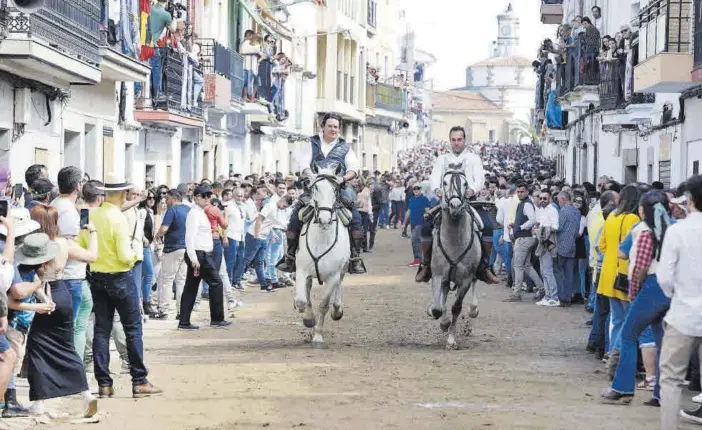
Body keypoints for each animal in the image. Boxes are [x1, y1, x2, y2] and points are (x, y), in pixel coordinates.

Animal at [292, 164, 350, 346]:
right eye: (315, 188)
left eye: (335, 189)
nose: (324, 219)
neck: (322, 238)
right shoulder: (302, 271)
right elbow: (302, 301)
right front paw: (309, 320)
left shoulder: (332, 276)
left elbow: (324, 305)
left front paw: (317, 336)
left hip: (343, 269)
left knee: (339, 287)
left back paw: (337, 310)